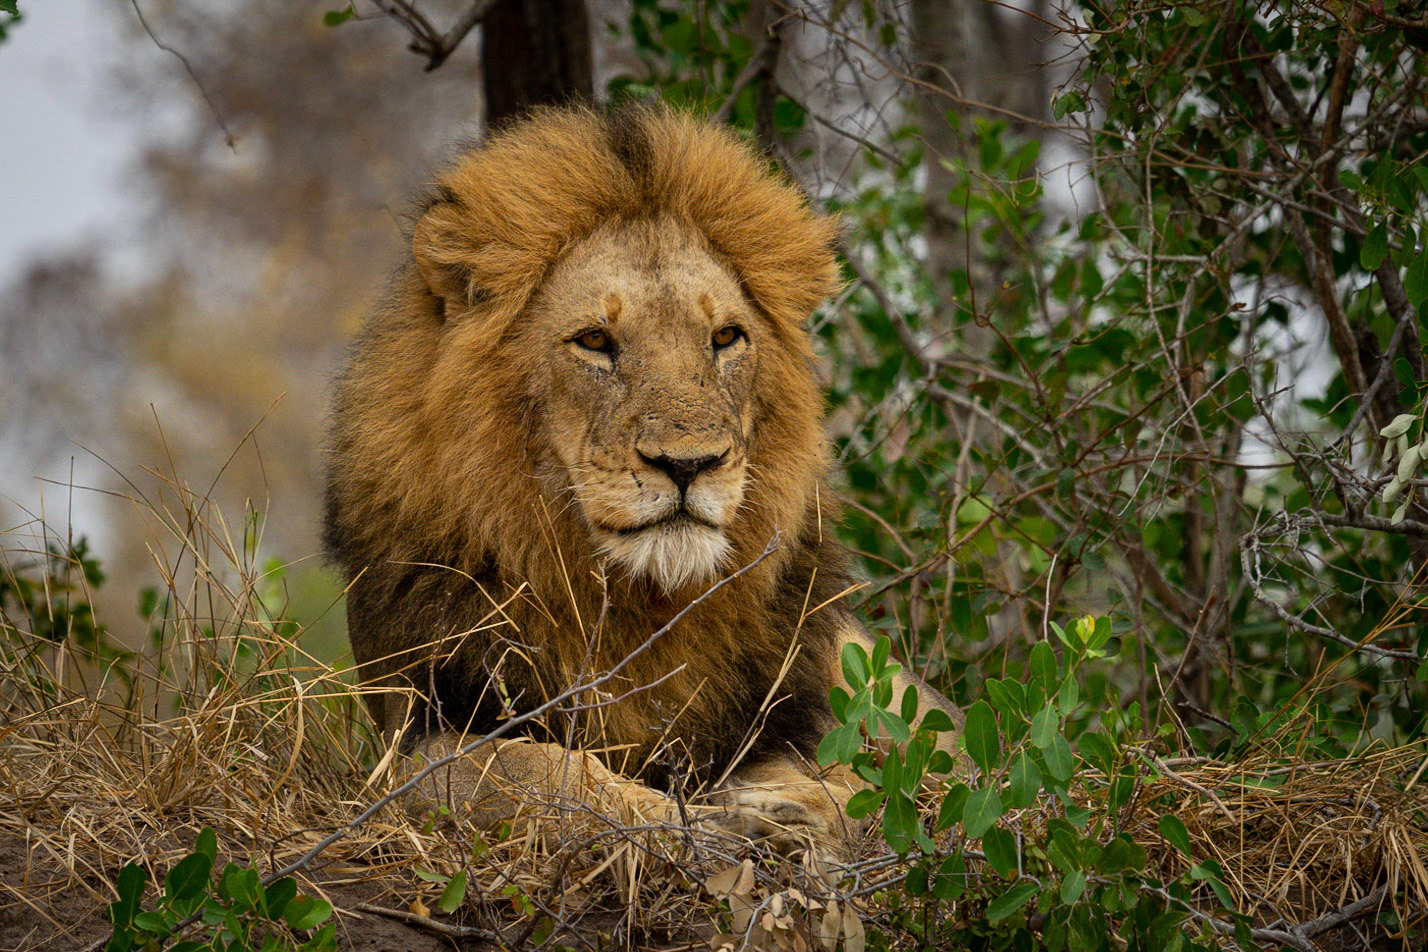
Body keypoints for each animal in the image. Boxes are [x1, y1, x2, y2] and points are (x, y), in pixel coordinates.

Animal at [324, 103, 962, 858]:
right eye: (595, 341)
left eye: (726, 338)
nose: (689, 464)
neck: (640, 605)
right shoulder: (413, 732)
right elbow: (519, 770)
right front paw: (685, 820)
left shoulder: (786, 712)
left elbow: (864, 781)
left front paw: (786, 807)